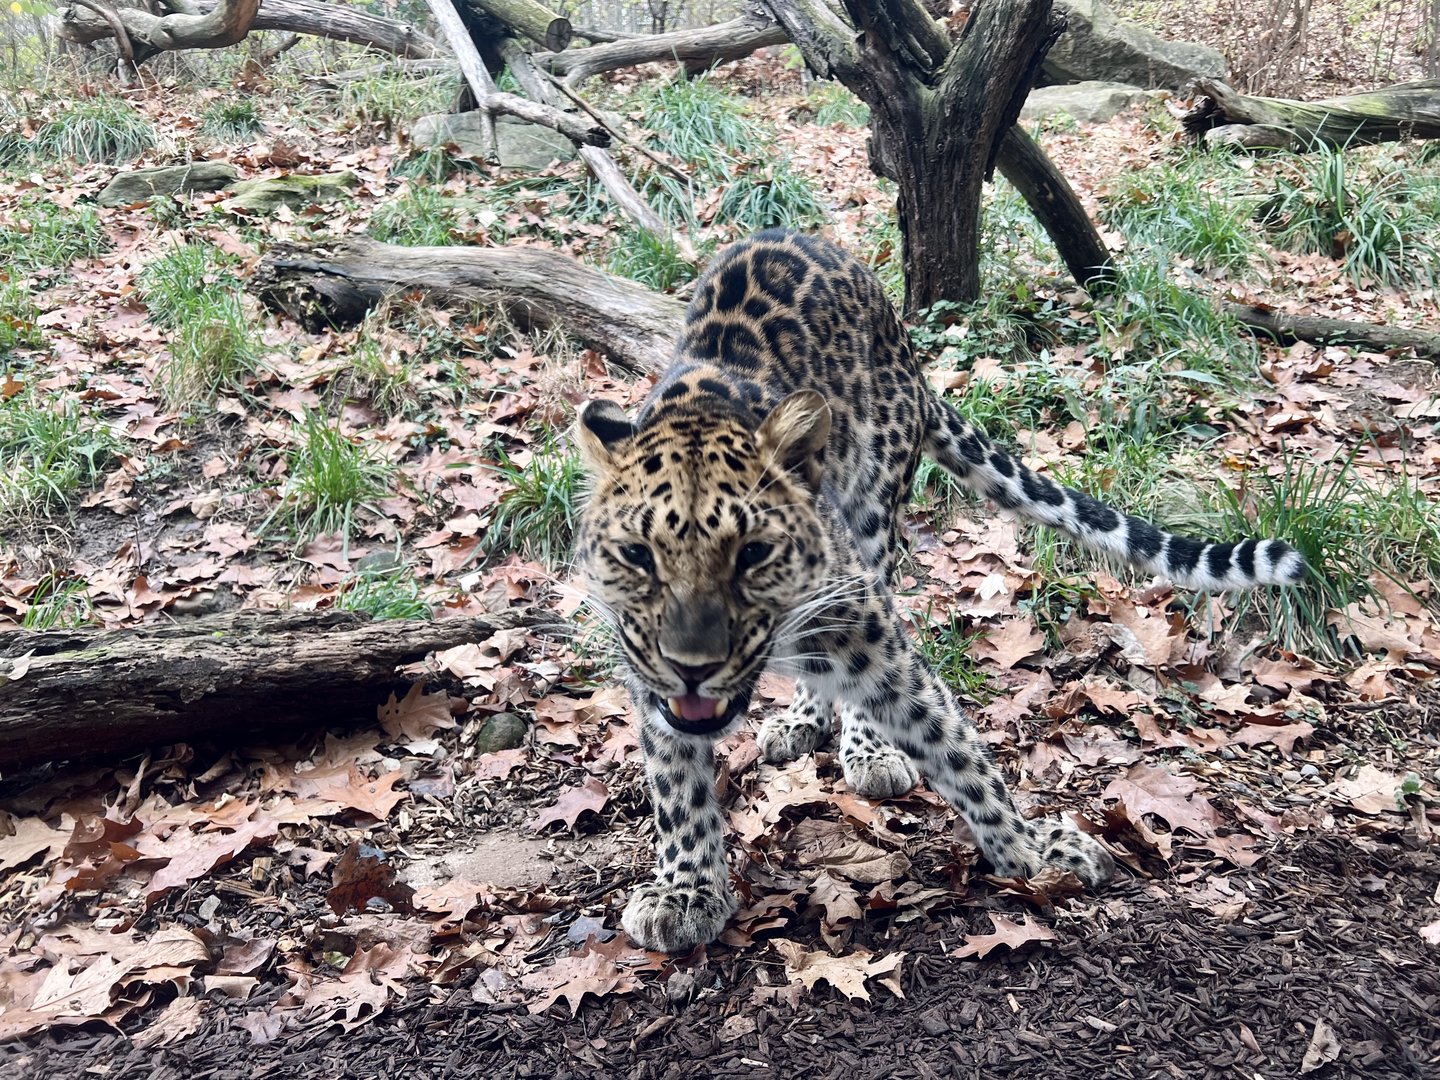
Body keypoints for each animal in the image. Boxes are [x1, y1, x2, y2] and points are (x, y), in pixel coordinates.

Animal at [573, 228, 1305, 954]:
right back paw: (801, 720)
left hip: (874, 513)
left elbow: (954, 742)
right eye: (637, 555)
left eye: (753, 553)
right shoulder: (646, 670)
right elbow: (677, 785)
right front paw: (685, 891)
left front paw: (1031, 847)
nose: (692, 669)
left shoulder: (869, 631)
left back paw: (868, 749)